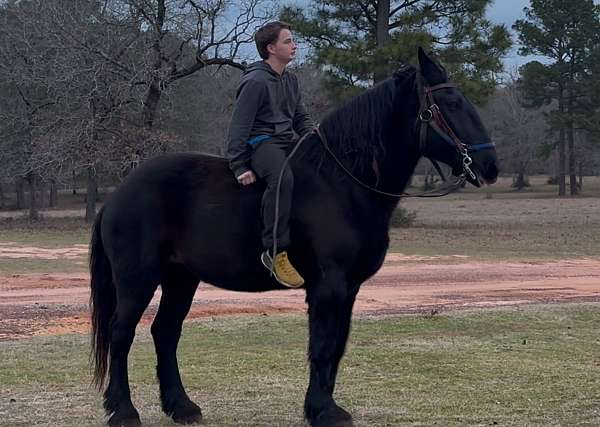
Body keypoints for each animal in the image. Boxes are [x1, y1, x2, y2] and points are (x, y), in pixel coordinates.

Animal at [90, 48, 496, 427]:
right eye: (451, 103)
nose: (490, 165)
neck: (342, 183)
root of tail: (118, 194)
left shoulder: (349, 288)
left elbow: (336, 348)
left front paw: (322, 407)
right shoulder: (328, 286)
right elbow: (322, 346)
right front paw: (324, 411)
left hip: (180, 279)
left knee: (165, 332)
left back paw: (181, 406)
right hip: (138, 279)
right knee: (121, 334)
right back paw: (123, 410)